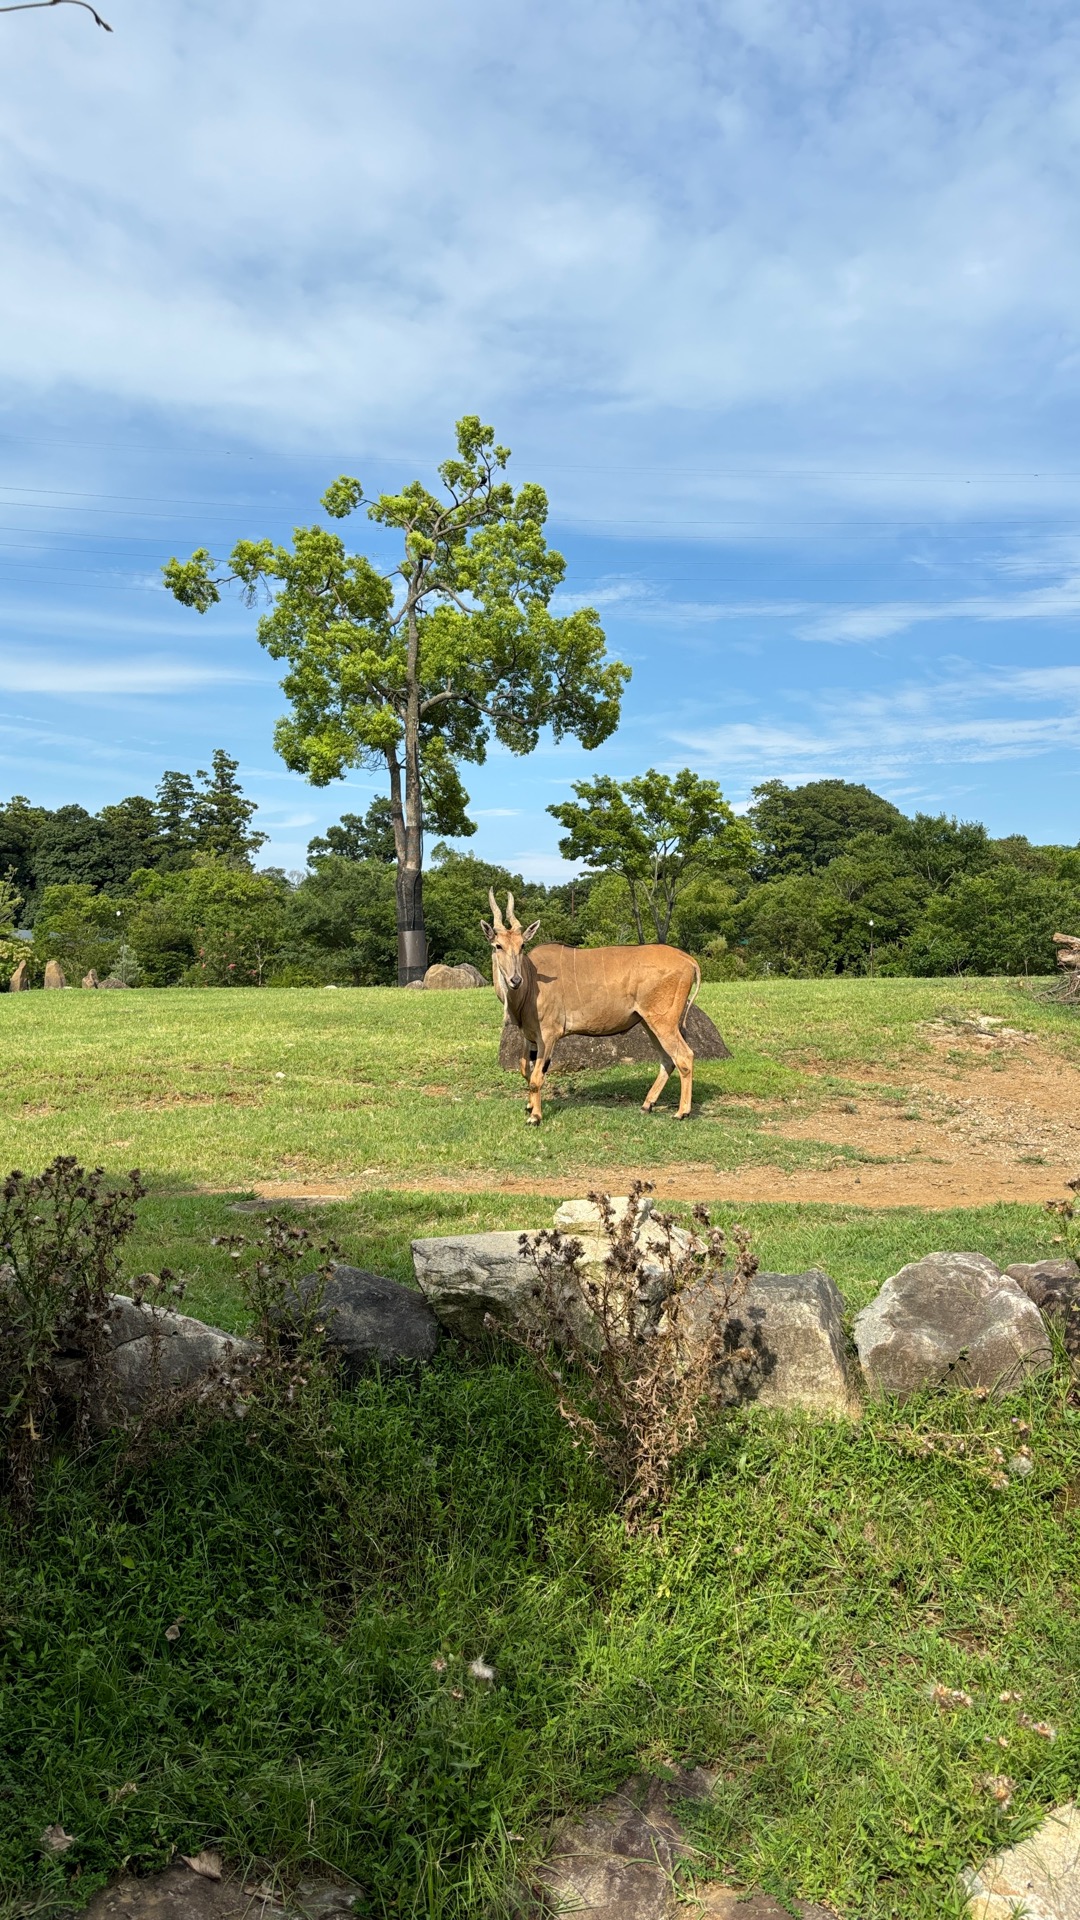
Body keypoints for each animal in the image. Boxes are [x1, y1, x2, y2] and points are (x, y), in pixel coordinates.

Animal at [478, 887, 699, 1121]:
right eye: (498, 945)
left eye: (522, 945)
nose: (515, 980)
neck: (532, 978)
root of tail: (689, 960)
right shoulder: (530, 1037)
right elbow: (525, 1070)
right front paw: (530, 1106)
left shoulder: (548, 1035)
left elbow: (537, 1078)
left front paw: (535, 1116)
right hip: (648, 1022)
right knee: (667, 1059)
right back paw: (647, 1104)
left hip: (663, 1022)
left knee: (684, 1057)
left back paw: (681, 1112)